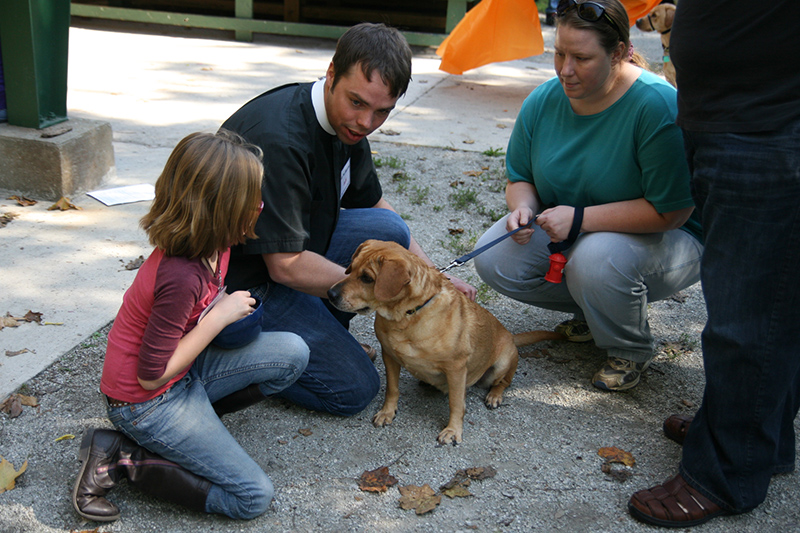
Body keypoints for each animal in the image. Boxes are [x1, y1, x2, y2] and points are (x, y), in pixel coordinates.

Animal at [324, 239, 564, 442]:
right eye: (351, 267)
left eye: (367, 278)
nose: (330, 293)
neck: (407, 316)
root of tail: (509, 336)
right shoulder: (389, 356)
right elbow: (392, 389)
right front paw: (387, 412)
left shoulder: (456, 369)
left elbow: (456, 403)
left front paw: (453, 430)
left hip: (502, 364)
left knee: (504, 382)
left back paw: (495, 396)